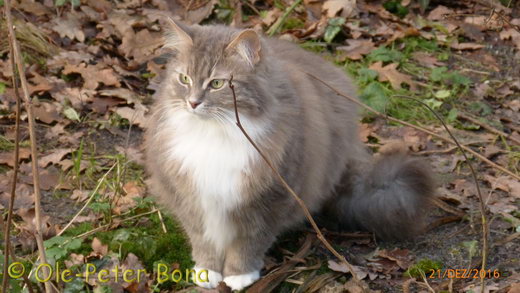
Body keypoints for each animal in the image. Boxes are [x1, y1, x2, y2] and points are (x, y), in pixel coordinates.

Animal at [143, 18, 434, 290]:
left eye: (216, 83)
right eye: (184, 79)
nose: (192, 102)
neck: (216, 133)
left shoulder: (269, 199)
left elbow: (249, 242)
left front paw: (239, 275)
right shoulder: (190, 197)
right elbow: (203, 240)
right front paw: (207, 272)